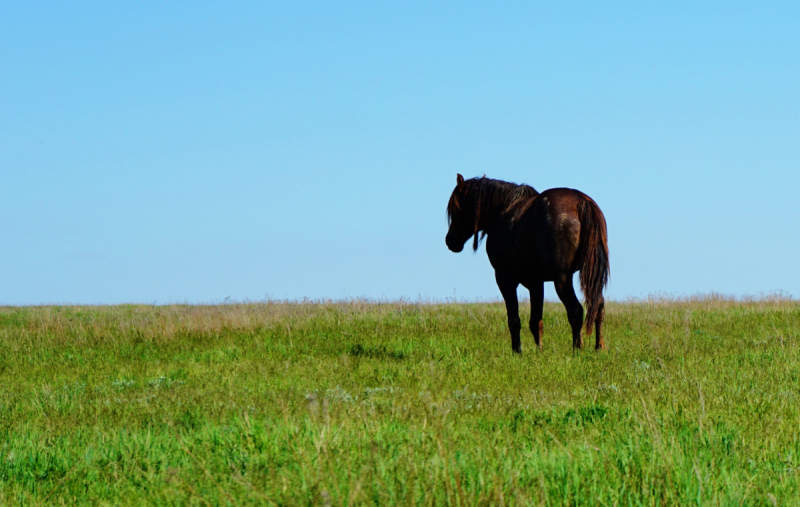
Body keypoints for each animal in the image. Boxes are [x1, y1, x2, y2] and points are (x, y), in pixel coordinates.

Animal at [446, 175, 608, 354]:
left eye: (456, 208)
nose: (450, 241)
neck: (501, 211)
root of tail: (581, 201)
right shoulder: (536, 282)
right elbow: (536, 321)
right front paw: (539, 352)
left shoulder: (504, 279)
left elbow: (514, 320)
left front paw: (517, 351)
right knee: (598, 305)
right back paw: (599, 347)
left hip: (562, 280)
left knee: (576, 310)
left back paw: (577, 349)